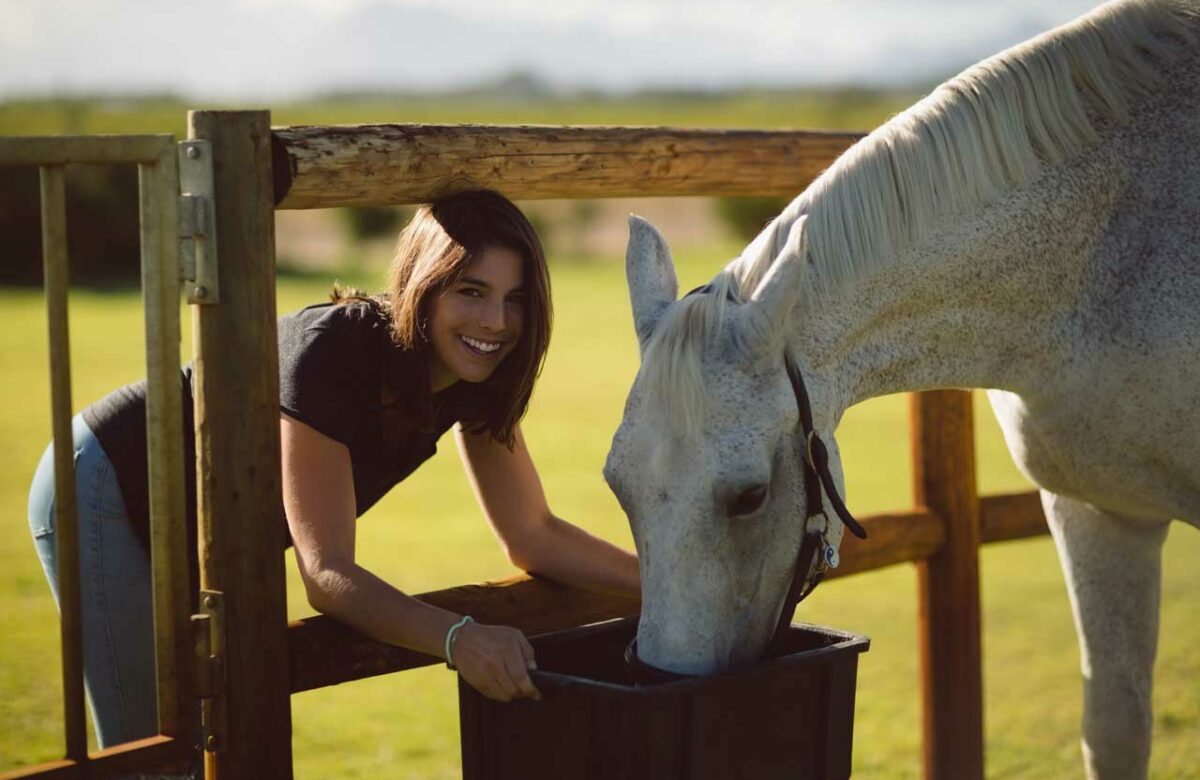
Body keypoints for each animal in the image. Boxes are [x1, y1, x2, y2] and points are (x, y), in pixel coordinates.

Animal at [604, 3, 1200, 772]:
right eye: (617, 486)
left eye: (750, 497)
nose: (659, 679)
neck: (1103, 260)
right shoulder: (1098, 513)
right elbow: (1115, 727)